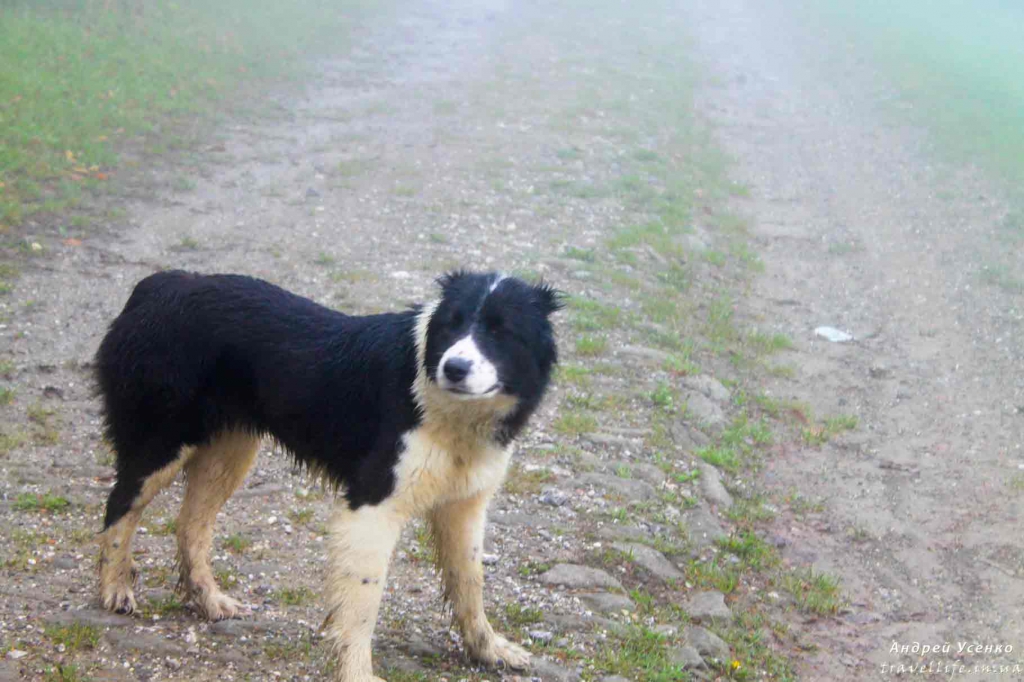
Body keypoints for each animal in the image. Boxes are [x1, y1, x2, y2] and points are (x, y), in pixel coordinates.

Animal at [94, 269, 562, 681]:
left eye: (501, 333)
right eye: (452, 324)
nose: (455, 368)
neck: (450, 409)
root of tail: (159, 284)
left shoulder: (464, 505)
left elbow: (470, 584)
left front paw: (488, 650)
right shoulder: (372, 506)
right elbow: (363, 603)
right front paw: (357, 674)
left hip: (229, 452)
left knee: (190, 526)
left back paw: (209, 602)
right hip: (161, 443)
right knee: (120, 506)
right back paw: (115, 589)